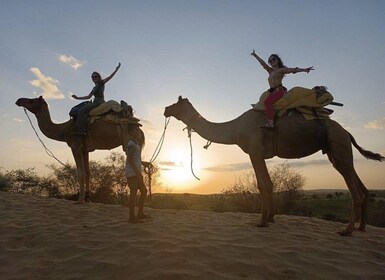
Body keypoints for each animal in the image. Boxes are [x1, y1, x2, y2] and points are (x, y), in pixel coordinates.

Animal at [15, 95, 144, 201]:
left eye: (32, 101)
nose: (19, 100)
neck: (65, 129)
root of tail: (139, 128)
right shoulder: (85, 149)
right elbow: (88, 172)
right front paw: (88, 198)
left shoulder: (75, 146)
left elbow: (81, 173)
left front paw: (80, 199)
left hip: (129, 142)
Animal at [164, 95, 382, 235]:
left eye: (175, 103)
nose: (165, 109)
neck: (235, 128)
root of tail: (347, 132)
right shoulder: (260, 154)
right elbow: (269, 183)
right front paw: (270, 218)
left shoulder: (255, 151)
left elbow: (263, 184)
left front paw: (261, 222)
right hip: (335, 151)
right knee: (358, 184)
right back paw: (361, 227)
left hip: (338, 144)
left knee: (354, 190)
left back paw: (347, 230)